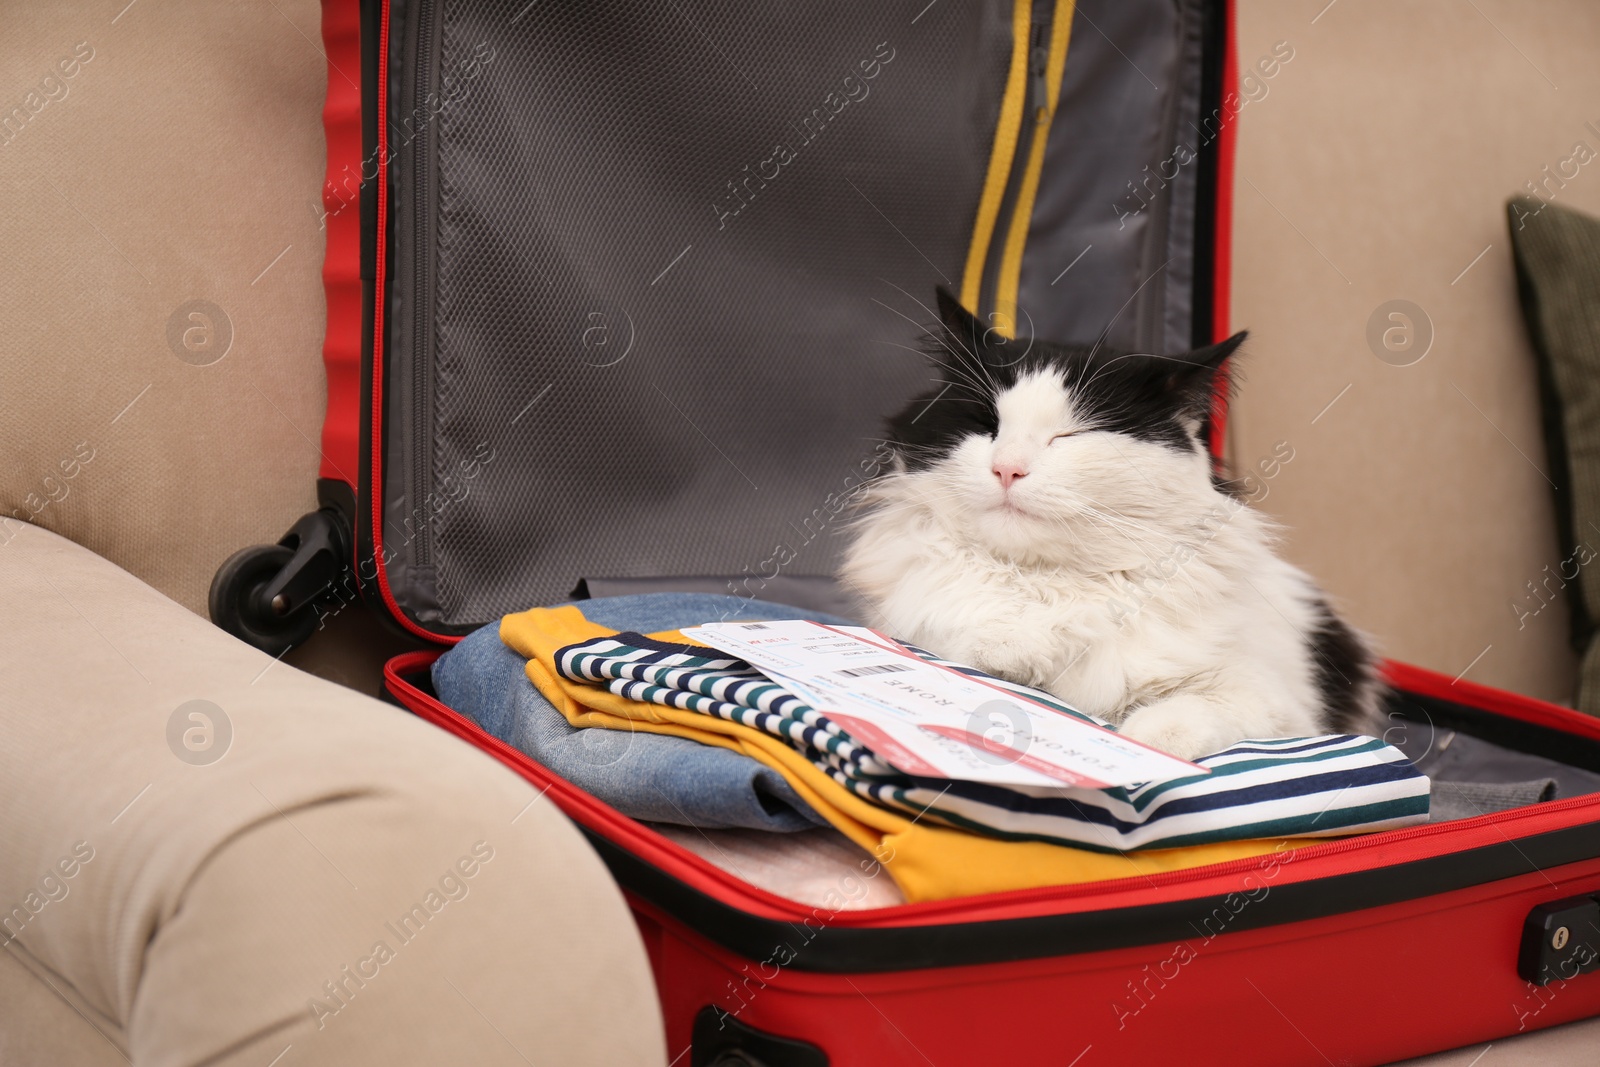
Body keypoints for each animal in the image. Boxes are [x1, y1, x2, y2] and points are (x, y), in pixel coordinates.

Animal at [844, 292, 1382, 758]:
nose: (1006, 469)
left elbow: (1191, 712)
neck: (1045, 585)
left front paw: (1145, 743)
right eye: (986, 425)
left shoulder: (1276, 703)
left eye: (1071, 435)